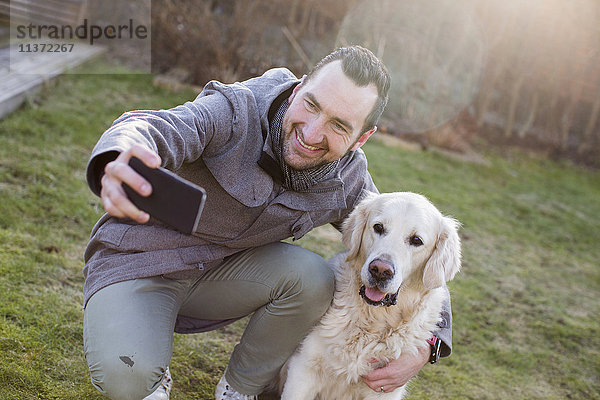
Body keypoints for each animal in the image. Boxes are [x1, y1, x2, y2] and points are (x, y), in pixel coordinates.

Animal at [278, 192, 462, 398]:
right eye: (378, 227)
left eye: (416, 240)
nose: (380, 270)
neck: (374, 320)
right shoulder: (303, 369)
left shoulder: (387, 388)